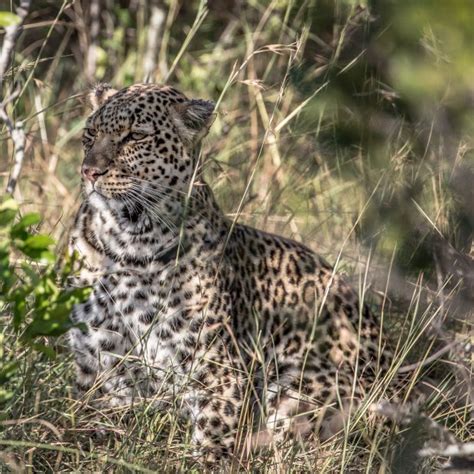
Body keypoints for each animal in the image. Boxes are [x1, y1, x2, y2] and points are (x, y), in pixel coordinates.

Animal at [70, 83, 402, 464]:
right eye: (91, 133)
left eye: (135, 136)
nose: (89, 172)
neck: (125, 243)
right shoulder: (96, 368)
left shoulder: (218, 375)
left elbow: (211, 445)